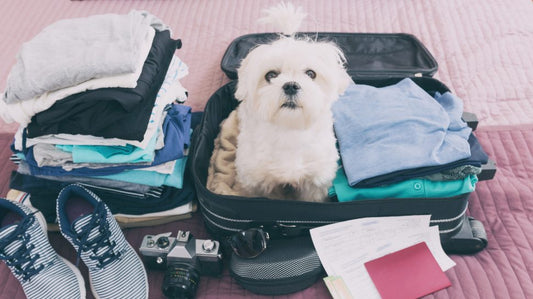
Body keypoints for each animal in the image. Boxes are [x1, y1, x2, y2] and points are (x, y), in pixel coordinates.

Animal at [233, 2, 350, 202]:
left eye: (311, 73)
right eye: (271, 75)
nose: (291, 86)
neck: (289, 130)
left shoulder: (315, 182)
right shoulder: (260, 183)